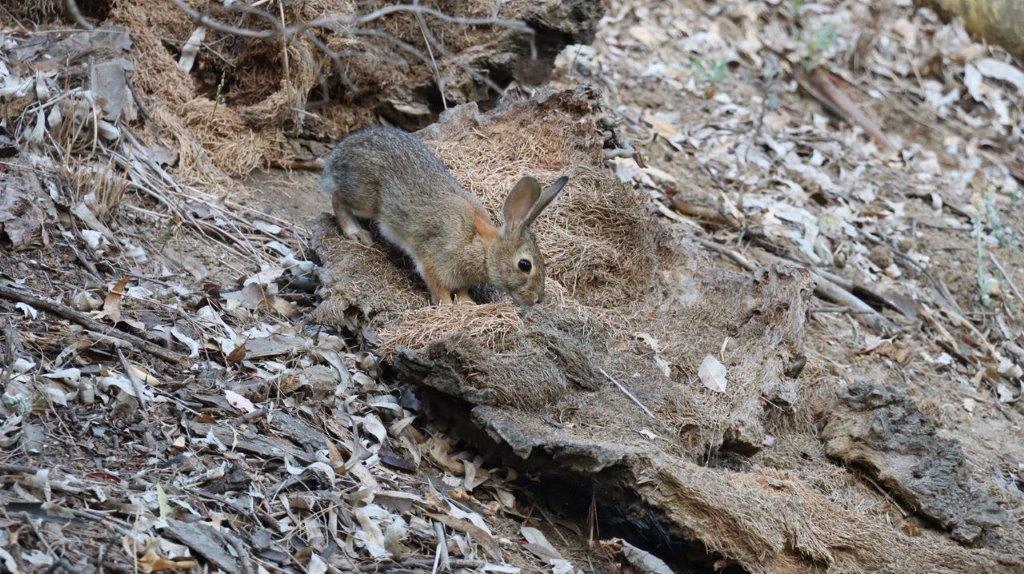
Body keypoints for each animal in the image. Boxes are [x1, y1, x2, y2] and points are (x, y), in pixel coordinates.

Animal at [321, 124, 569, 304]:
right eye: (525, 265)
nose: (538, 300)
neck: (479, 245)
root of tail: (341, 152)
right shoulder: (433, 261)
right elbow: (438, 287)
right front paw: (448, 307)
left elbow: (462, 289)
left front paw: (468, 304)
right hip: (364, 197)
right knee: (336, 197)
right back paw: (355, 233)